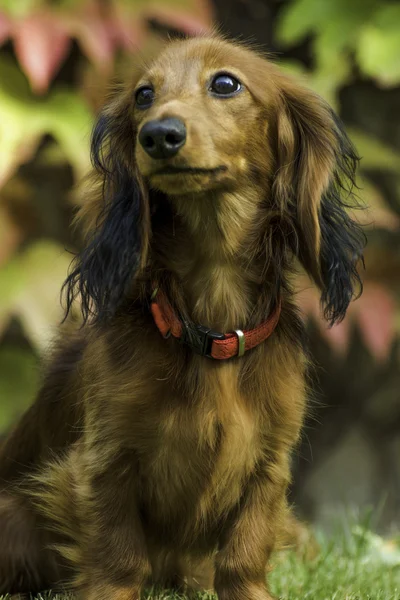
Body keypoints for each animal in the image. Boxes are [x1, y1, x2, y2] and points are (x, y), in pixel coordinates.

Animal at [0, 34, 364, 600]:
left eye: (226, 83)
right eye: (143, 95)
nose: (158, 135)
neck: (212, 326)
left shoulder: (270, 463)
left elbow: (243, 553)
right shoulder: (105, 459)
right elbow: (118, 553)